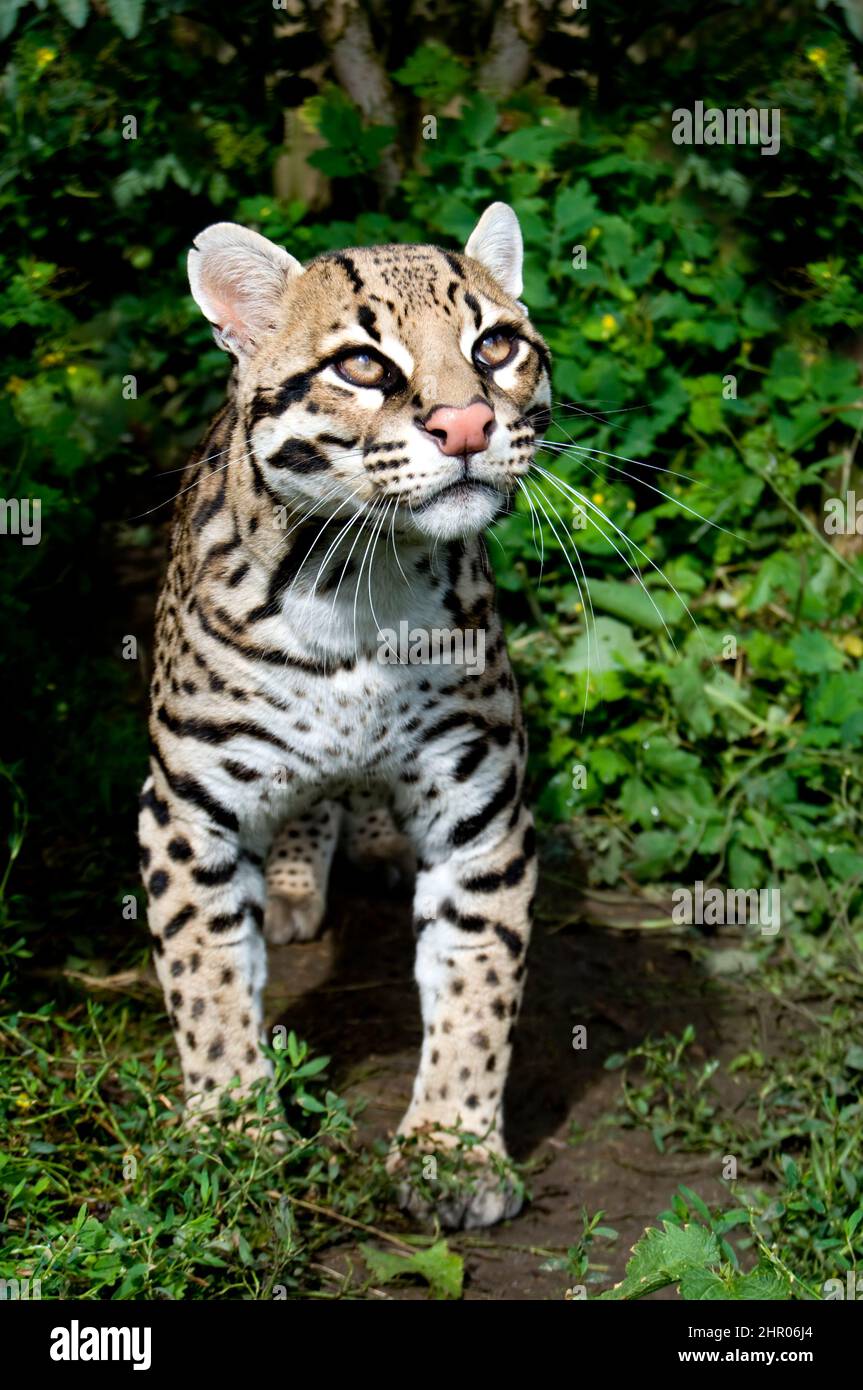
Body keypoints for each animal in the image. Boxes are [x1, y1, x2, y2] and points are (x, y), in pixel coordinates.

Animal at [138, 203, 551, 1229]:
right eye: (362, 365)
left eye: (495, 346)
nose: (467, 422)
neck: (358, 584)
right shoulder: (185, 813)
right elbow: (205, 981)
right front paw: (231, 1134)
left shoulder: (483, 815)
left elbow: (478, 983)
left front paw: (452, 1148)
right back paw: (293, 880)